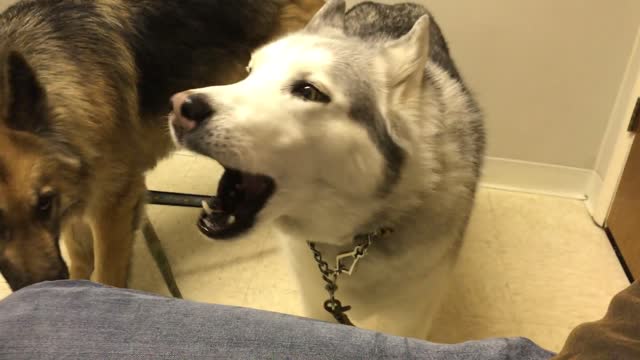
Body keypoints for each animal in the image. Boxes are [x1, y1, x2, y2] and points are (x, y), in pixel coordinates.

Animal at [0, 0, 322, 292]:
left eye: (42, 204)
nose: (46, 288)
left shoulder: (113, 205)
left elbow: (107, 273)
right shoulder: (74, 191)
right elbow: (79, 252)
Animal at [170, 0, 484, 338]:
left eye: (309, 91)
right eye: (249, 72)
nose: (180, 106)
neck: (355, 241)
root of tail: (391, 4)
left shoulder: (411, 317)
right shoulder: (315, 302)